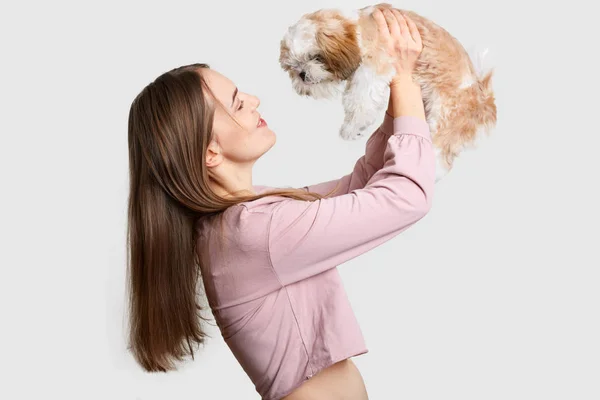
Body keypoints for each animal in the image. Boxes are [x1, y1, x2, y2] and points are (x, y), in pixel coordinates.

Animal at [280, 2, 496, 181]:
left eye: (315, 57)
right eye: (293, 66)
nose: (302, 74)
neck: (358, 28)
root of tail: (483, 101)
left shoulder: (371, 70)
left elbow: (359, 102)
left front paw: (351, 128)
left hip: (444, 122)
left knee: (439, 158)